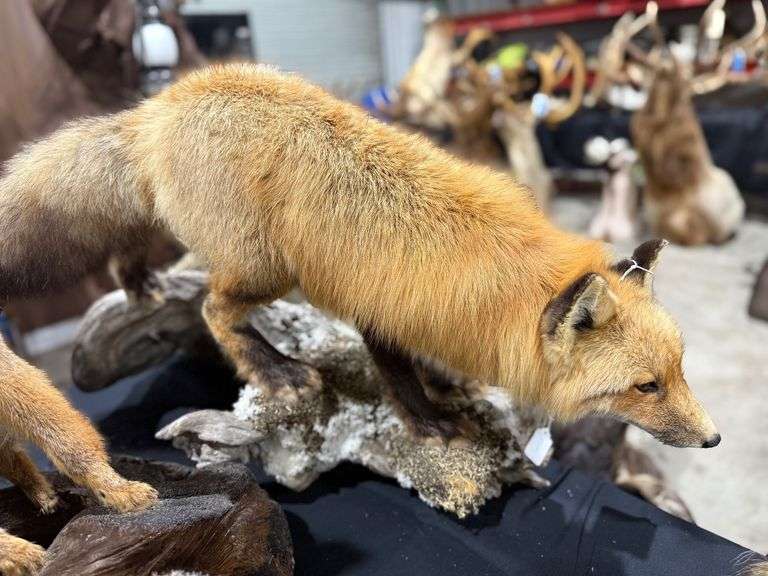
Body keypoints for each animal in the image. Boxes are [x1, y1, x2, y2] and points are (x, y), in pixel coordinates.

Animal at [0, 63, 719, 457]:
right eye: (645, 387)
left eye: (681, 371)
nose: (713, 438)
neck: (499, 287)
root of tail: (157, 107)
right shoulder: (380, 313)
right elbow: (400, 381)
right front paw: (432, 423)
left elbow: (425, 368)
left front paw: (449, 390)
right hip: (266, 269)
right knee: (212, 310)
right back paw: (276, 370)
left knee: (132, 237)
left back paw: (138, 280)